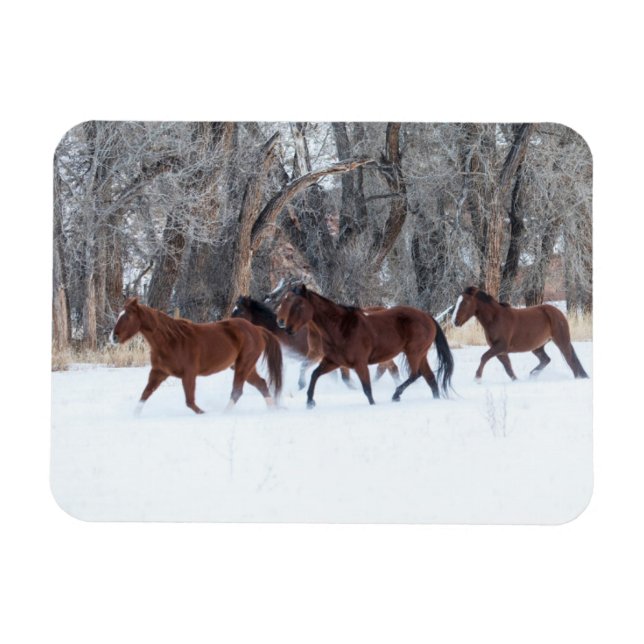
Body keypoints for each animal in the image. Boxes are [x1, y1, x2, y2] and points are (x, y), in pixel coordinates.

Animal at [110, 297, 283, 414]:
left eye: (127, 316)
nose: (113, 337)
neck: (170, 341)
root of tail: (257, 329)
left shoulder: (189, 374)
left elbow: (190, 402)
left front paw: (204, 413)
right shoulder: (159, 372)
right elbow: (144, 395)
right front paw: (134, 416)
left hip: (243, 365)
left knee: (237, 391)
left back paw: (224, 414)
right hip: (245, 367)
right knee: (261, 384)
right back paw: (272, 410)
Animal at [275, 285, 454, 408]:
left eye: (299, 305)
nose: (286, 327)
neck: (340, 328)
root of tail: (428, 317)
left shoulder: (360, 364)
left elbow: (367, 389)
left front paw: (373, 405)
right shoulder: (333, 361)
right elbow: (314, 374)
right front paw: (310, 402)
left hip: (414, 352)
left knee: (416, 374)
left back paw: (396, 395)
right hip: (420, 354)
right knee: (430, 379)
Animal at [451, 286, 589, 381]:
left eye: (465, 302)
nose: (455, 321)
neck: (495, 319)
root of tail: (558, 313)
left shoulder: (500, 346)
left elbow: (484, 357)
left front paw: (477, 378)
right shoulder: (500, 351)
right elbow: (508, 368)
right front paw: (516, 381)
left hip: (561, 341)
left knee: (570, 360)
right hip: (538, 347)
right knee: (546, 359)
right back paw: (532, 374)